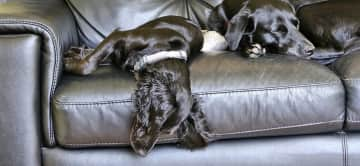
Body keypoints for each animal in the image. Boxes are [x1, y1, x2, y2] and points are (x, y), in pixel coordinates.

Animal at [63, 15, 211, 156]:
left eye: (167, 133)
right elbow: (89, 65)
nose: (142, 152)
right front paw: (69, 64)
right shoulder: (119, 36)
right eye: (158, 117)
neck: (165, 53)